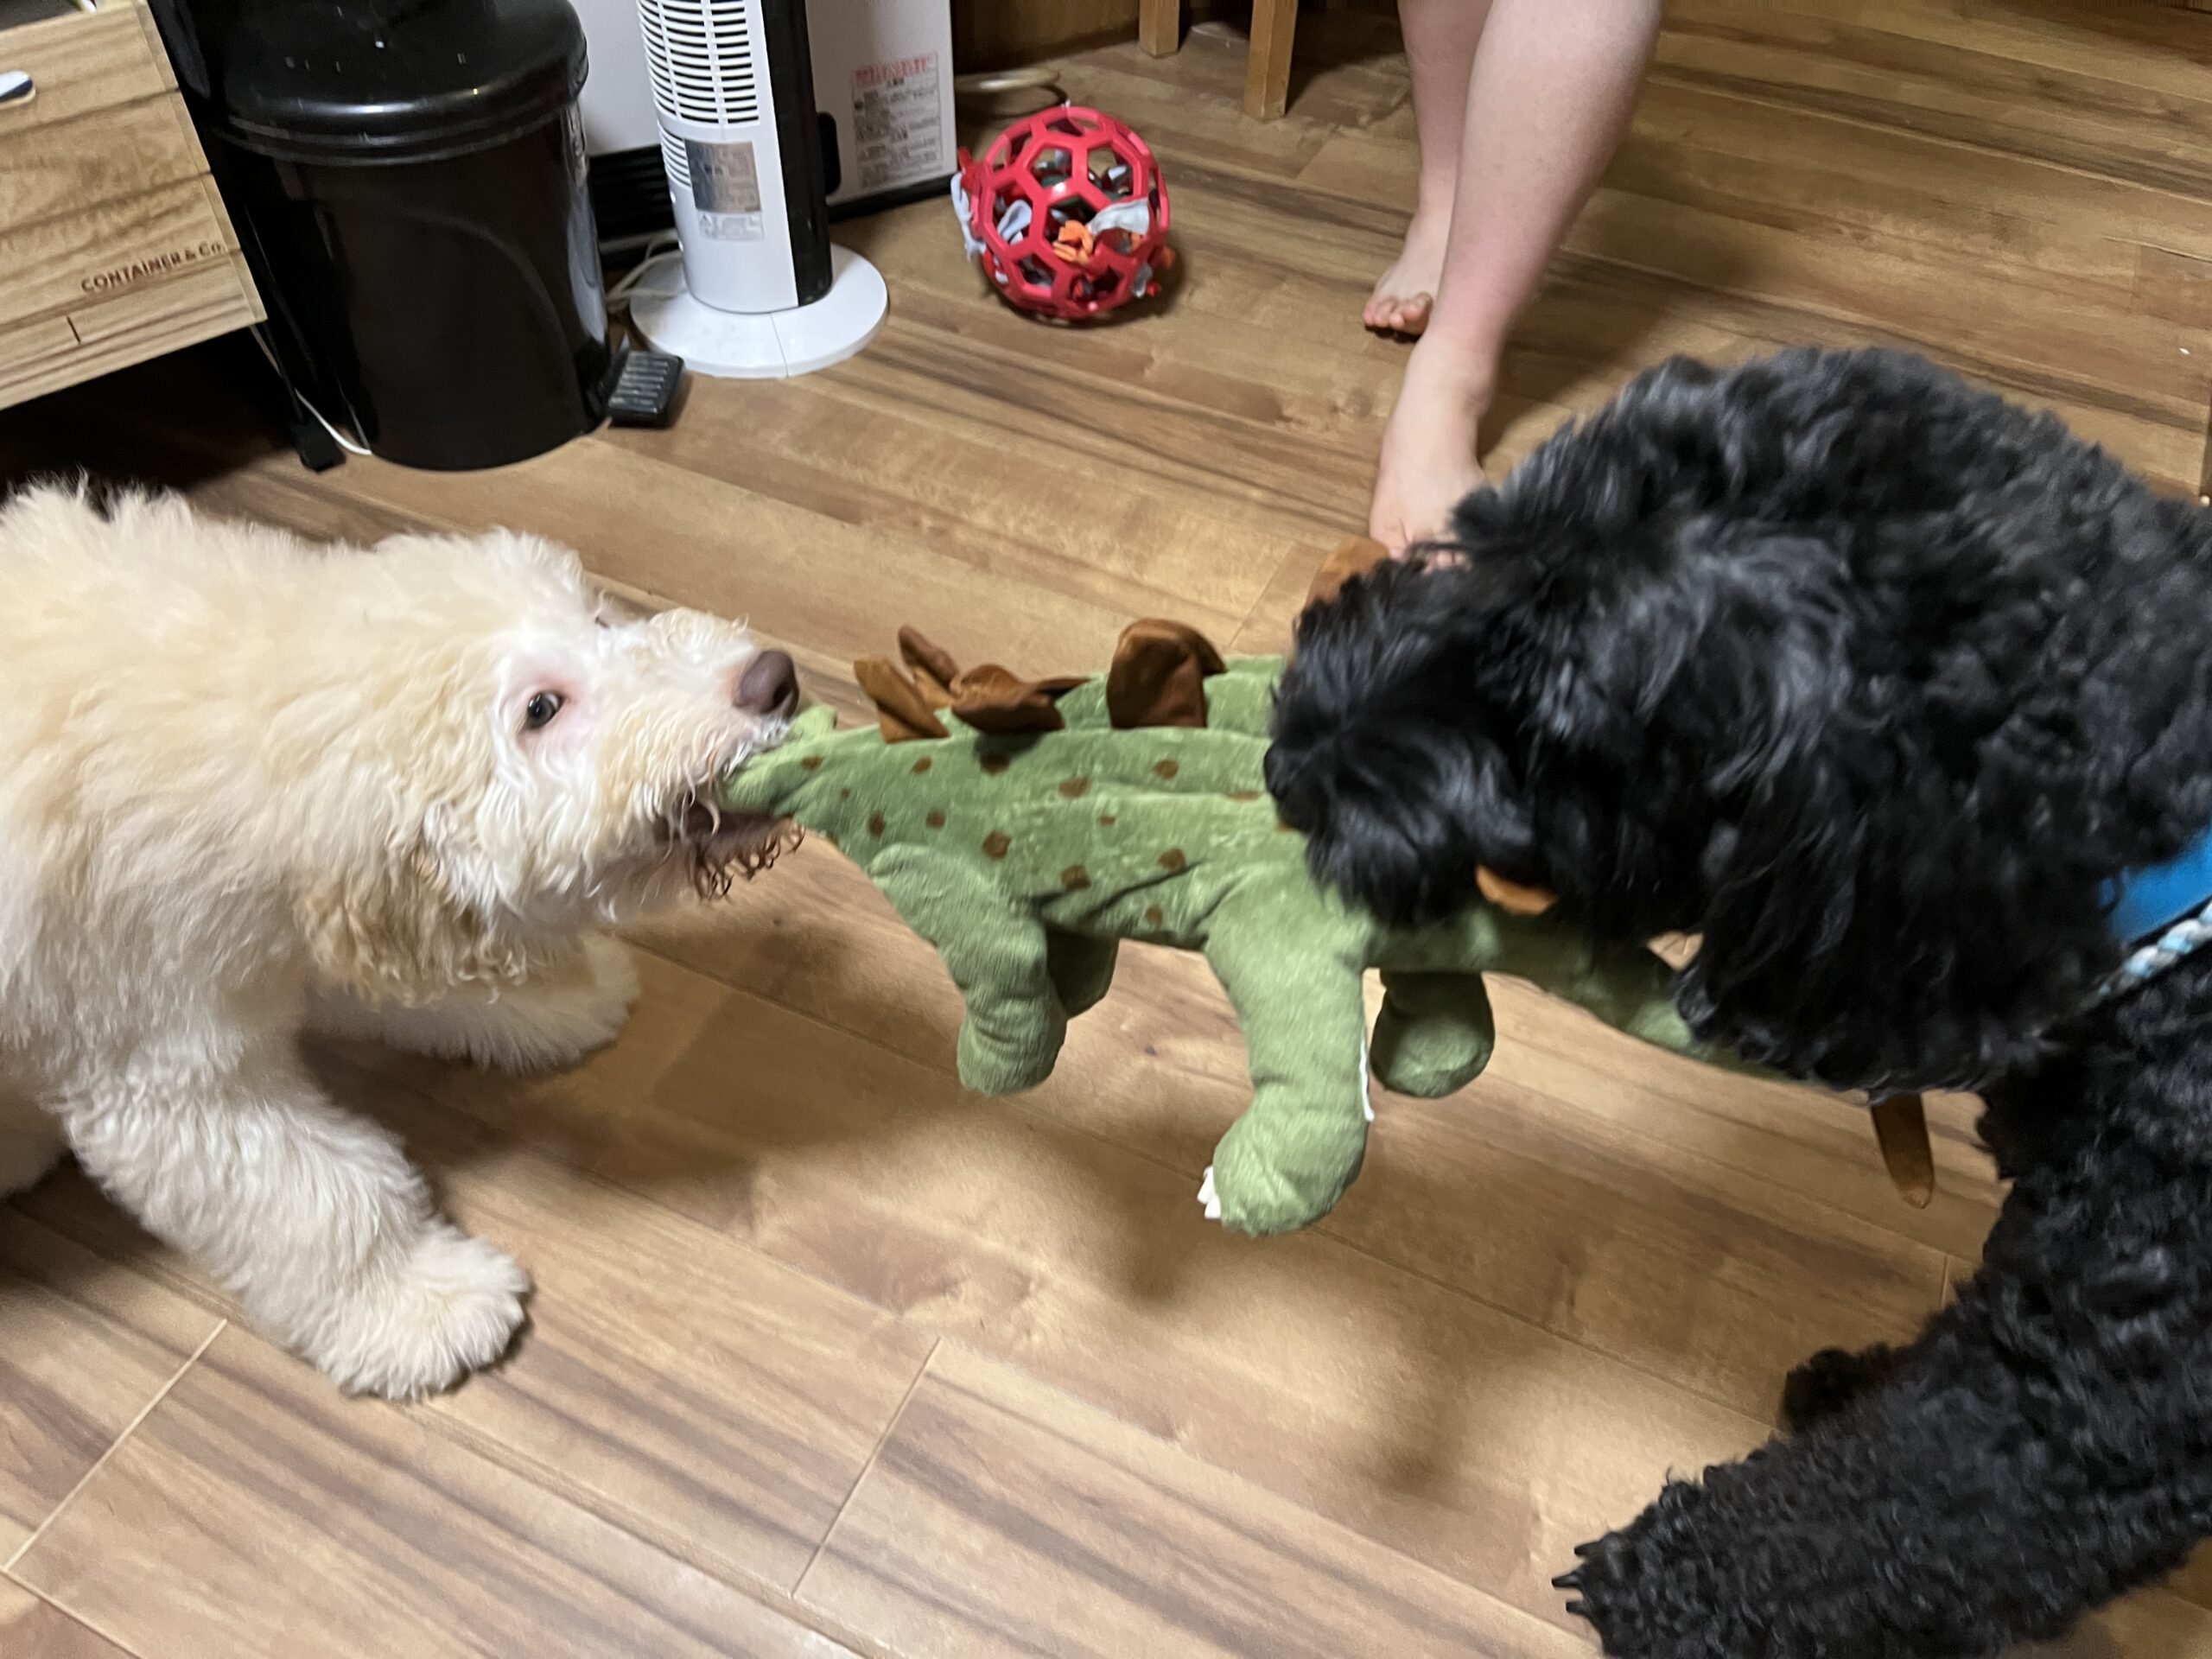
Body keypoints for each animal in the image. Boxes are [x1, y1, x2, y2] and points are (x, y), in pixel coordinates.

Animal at [0, 484, 797, 1399]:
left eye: (597, 619)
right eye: (540, 710)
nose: (773, 680)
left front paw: (564, 995)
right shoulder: (163, 1067)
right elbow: (316, 1198)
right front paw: (421, 1303)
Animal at [1266, 347, 2212, 1655]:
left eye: (1555, 736)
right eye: (1481, 547)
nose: (1284, 760)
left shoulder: (2094, 1406)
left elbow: (1889, 1515)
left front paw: (1671, 1588)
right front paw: (1859, 1380)